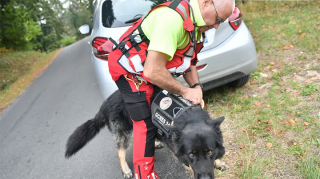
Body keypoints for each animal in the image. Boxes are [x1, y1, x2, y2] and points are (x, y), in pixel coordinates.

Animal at [64, 90, 225, 178]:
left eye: (209, 151)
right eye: (191, 154)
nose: (205, 178)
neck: (191, 119)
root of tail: (104, 105)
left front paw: (218, 162)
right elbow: (191, 165)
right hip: (125, 134)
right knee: (120, 152)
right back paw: (126, 170)